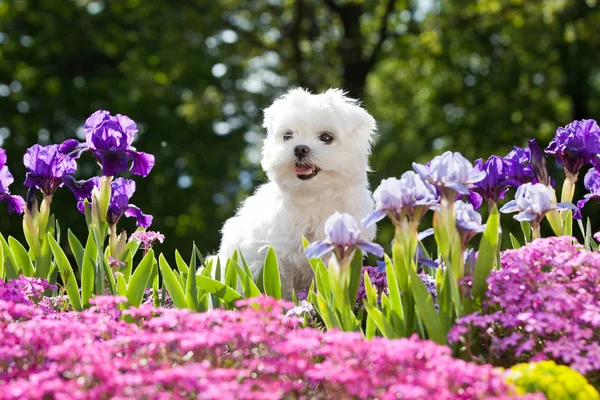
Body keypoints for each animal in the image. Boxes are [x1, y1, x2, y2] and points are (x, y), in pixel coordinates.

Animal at [218, 88, 378, 300]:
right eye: (288, 136)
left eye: (326, 137)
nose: (300, 148)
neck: (314, 196)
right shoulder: (279, 258)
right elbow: (282, 289)